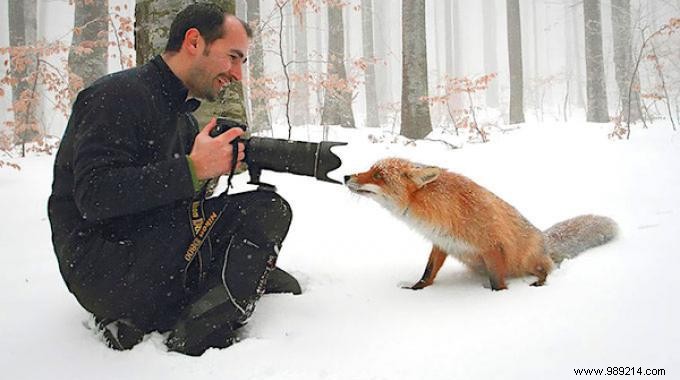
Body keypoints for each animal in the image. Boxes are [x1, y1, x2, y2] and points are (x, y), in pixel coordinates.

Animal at [346, 158, 616, 290]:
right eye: (370, 169)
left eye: (378, 175)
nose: (346, 176)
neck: (441, 210)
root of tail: (544, 238)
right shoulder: (441, 242)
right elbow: (428, 273)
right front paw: (416, 289)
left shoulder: (492, 247)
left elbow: (498, 283)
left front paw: (496, 298)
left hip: (527, 260)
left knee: (547, 269)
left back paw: (539, 283)